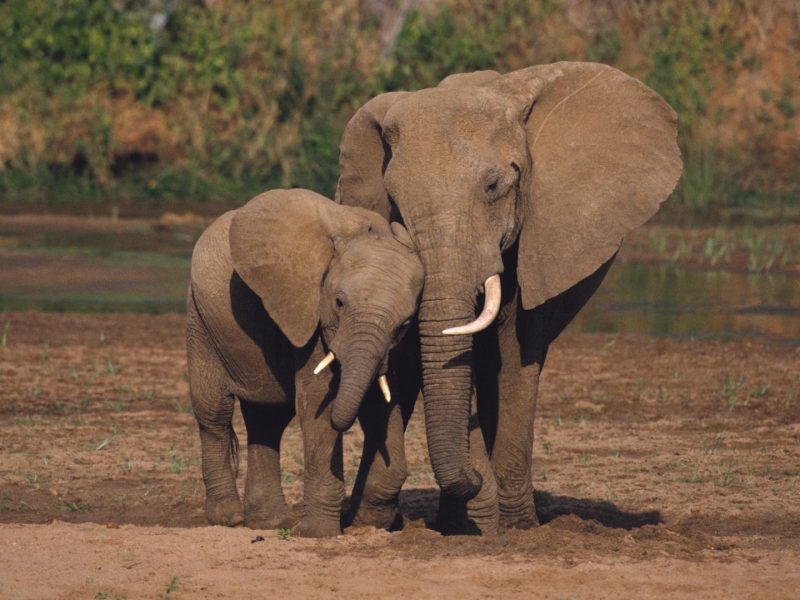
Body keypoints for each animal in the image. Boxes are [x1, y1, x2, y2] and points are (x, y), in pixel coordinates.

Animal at [188, 190, 424, 536]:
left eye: (405, 323)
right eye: (339, 303)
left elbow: (381, 402)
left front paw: (371, 524)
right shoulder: (309, 312)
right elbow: (317, 404)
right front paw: (317, 534)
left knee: (267, 418)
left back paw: (270, 522)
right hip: (201, 318)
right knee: (213, 411)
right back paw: (230, 519)